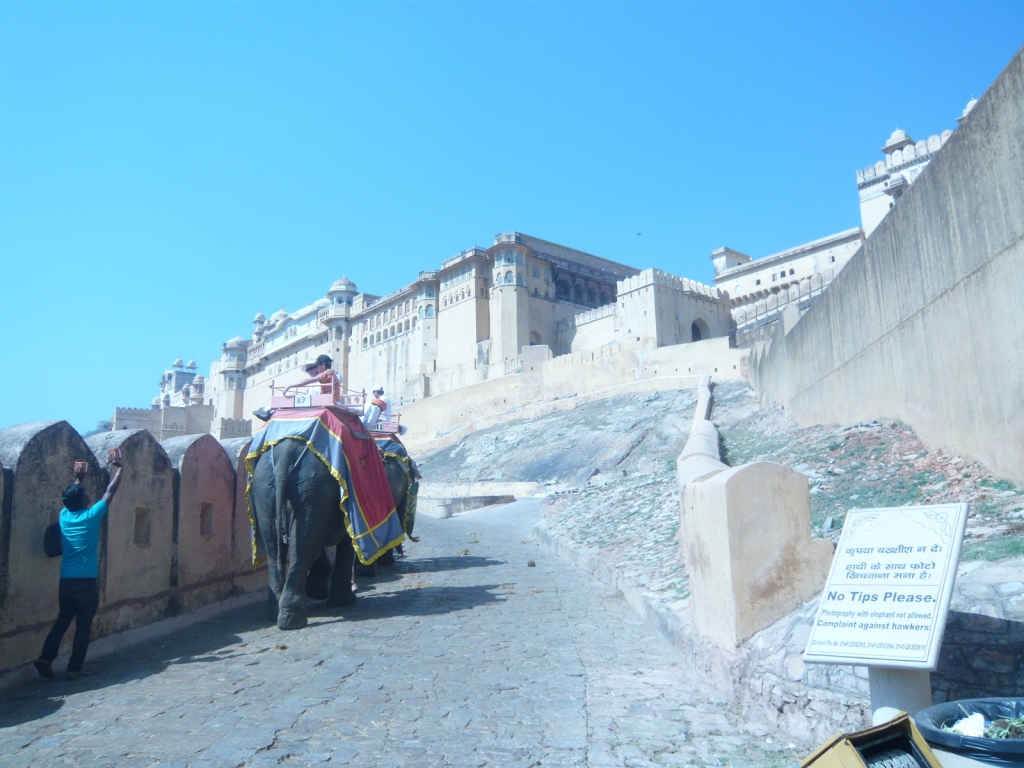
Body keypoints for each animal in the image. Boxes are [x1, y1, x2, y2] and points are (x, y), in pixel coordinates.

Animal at [247, 438, 407, 630]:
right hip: (311, 489)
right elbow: (344, 543)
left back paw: (276, 614)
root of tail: (286, 453)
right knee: (303, 547)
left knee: (278, 546)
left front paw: (318, 591)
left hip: (266, 490)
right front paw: (344, 601)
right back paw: (292, 620)